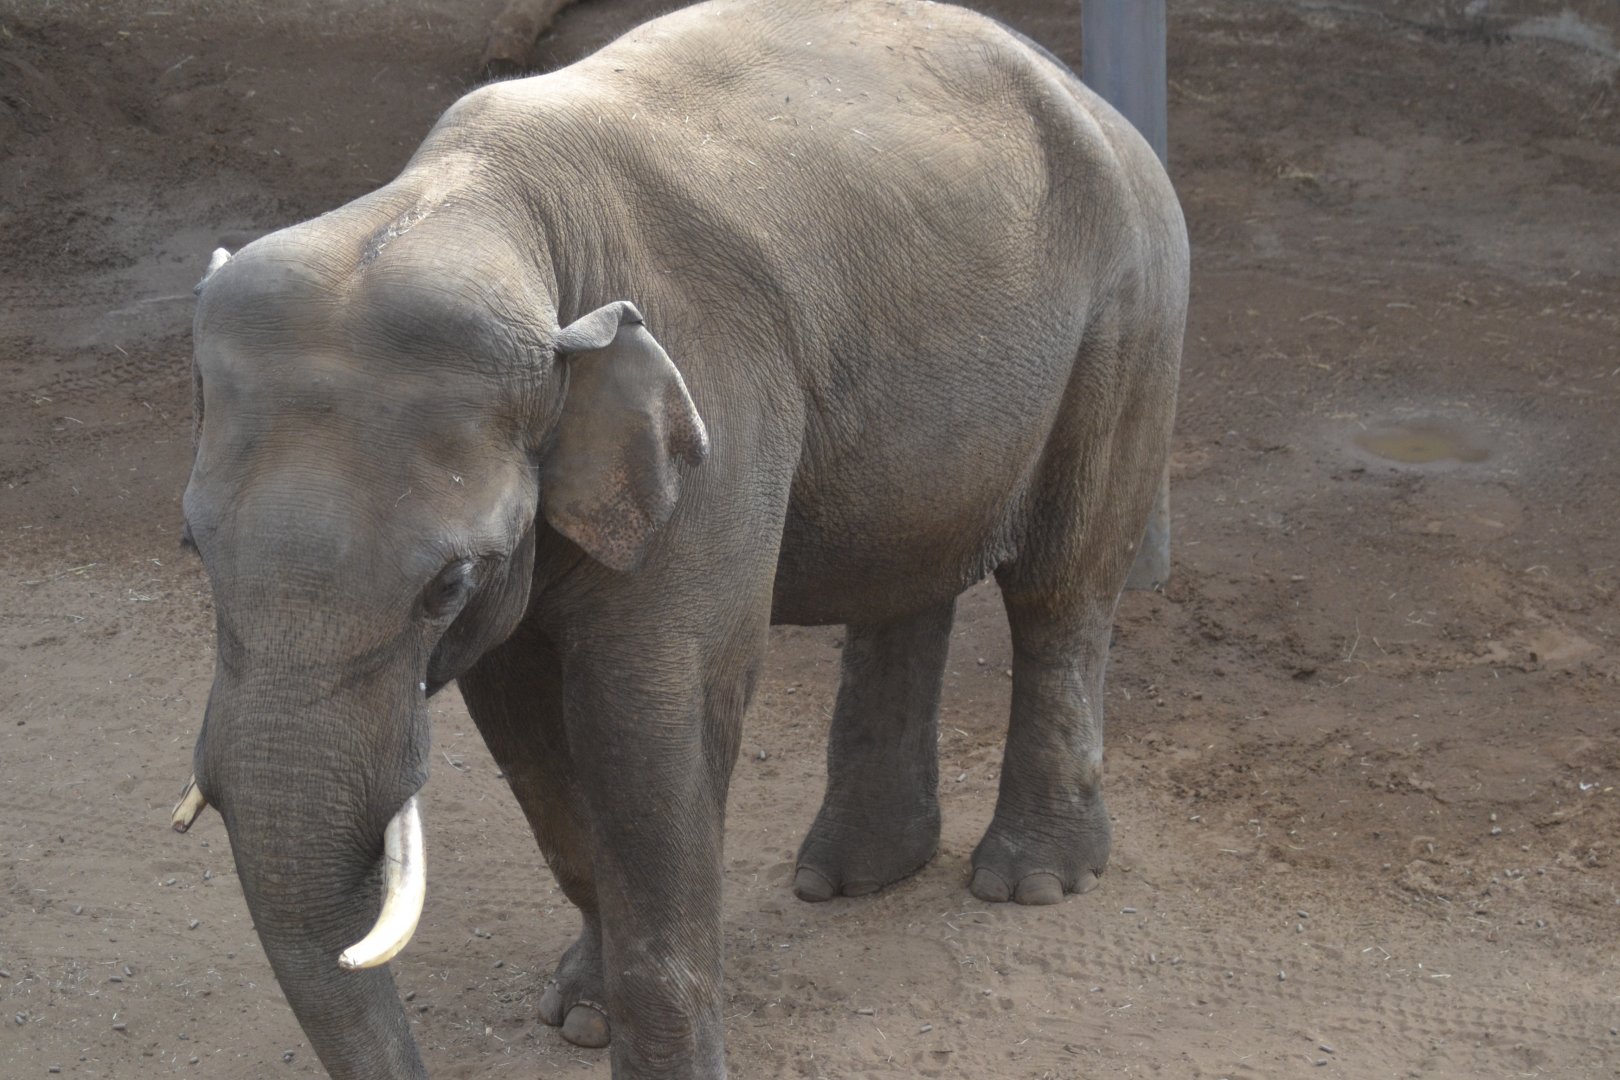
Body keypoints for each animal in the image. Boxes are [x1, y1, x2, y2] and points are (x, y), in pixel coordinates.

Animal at [170, 0, 1188, 1076]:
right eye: (194, 549)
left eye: (446, 585)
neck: (485, 208)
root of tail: (1079, 88)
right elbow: (526, 723)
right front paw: (580, 1017)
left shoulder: (714, 419)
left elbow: (654, 714)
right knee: (907, 578)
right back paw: (854, 877)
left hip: (1129, 311)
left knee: (1061, 587)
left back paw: (1032, 881)